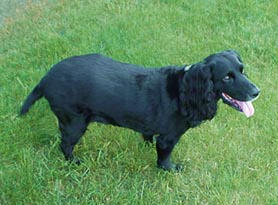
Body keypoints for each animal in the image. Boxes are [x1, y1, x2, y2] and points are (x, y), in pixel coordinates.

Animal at [20, 50, 260, 171]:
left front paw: (145, 145)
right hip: (74, 121)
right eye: (227, 77)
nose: (257, 91)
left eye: (242, 70)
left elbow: (146, 135)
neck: (185, 89)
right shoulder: (168, 137)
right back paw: (75, 162)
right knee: (65, 145)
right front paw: (170, 169)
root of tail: (46, 78)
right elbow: (164, 158)